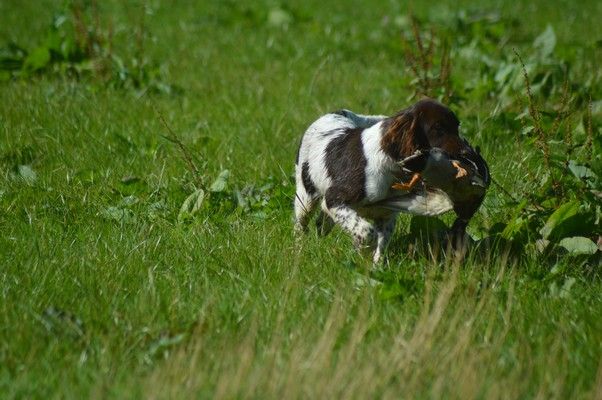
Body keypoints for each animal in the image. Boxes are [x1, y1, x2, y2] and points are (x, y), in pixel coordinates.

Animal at [292, 99, 486, 264]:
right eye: (438, 128)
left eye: (457, 127)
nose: (468, 154)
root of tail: (336, 112)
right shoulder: (335, 198)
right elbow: (367, 232)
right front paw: (363, 252)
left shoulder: (387, 214)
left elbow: (381, 242)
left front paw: (376, 267)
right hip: (305, 195)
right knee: (301, 224)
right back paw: (298, 250)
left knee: (322, 221)